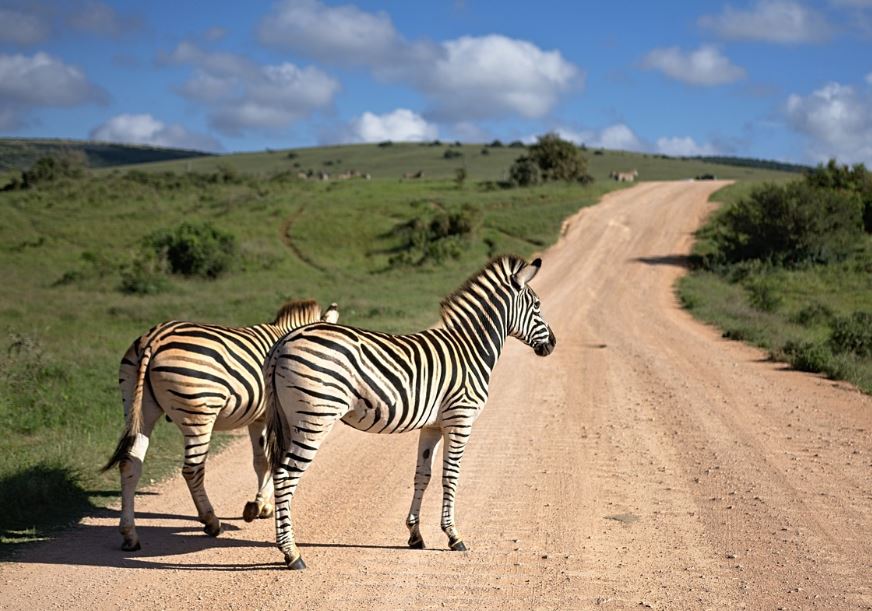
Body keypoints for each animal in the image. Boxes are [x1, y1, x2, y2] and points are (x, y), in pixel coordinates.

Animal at [103, 299, 339, 552]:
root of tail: (154, 338)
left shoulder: (259, 418)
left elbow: (261, 461)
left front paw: (261, 505)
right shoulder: (273, 416)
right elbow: (273, 460)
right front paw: (260, 505)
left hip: (138, 408)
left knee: (130, 464)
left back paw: (130, 535)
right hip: (198, 413)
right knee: (192, 470)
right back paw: (211, 521)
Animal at [264, 255, 556, 569]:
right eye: (537, 305)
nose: (552, 344)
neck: (470, 350)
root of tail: (284, 341)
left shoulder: (433, 426)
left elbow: (423, 475)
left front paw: (415, 535)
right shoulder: (460, 419)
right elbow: (451, 475)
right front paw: (453, 536)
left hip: (289, 419)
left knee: (278, 471)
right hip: (314, 419)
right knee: (286, 476)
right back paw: (292, 553)